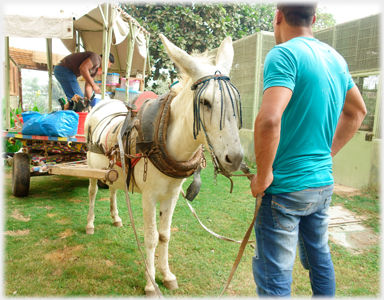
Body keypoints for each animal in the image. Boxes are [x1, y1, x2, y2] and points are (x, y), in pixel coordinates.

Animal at [85, 34, 244, 296]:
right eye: (205, 102)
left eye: (236, 102)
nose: (237, 158)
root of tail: (102, 103)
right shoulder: (149, 197)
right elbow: (150, 237)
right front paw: (150, 283)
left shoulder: (172, 195)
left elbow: (165, 235)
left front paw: (167, 274)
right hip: (91, 168)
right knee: (92, 192)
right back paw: (89, 225)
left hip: (114, 171)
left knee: (114, 189)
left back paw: (116, 218)